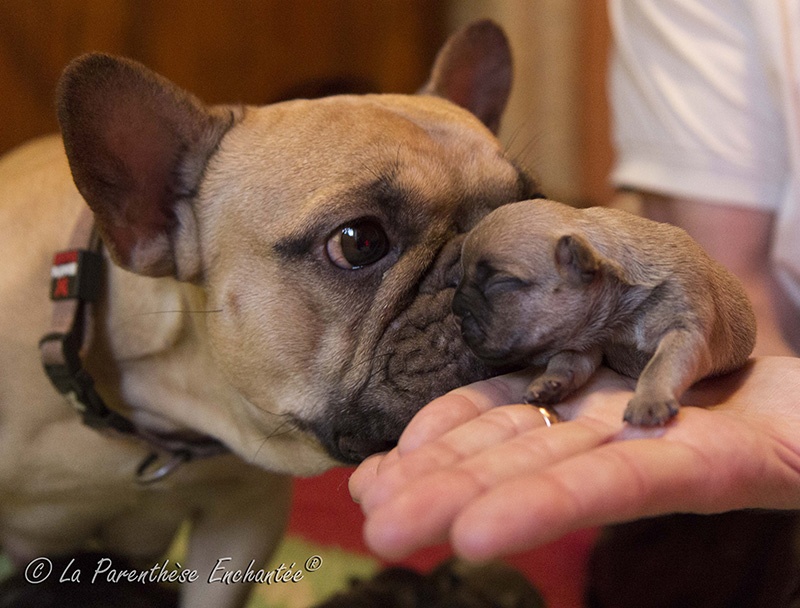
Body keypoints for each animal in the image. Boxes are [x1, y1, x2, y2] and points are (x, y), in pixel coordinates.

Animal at [453, 199, 756, 426]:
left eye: (501, 282)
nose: (458, 307)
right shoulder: (585, 344)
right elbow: (566, 363)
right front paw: (550, 383)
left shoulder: (684, 329)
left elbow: (661, 365)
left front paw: (650, 400)